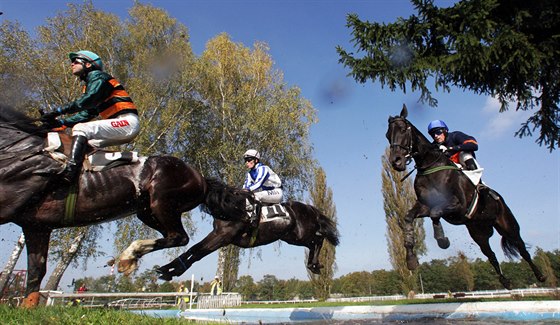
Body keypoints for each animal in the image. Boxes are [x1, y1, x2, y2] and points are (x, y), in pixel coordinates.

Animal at [0, 104, 249, 306]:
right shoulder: (36, 226)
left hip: (162, 201)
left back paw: (131, 255)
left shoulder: (11, 208)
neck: (16, 149)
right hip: (147, 211)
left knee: (179, 237)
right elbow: (35, 273)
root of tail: (201, 178)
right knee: (174, 238)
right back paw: (136, 257)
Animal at [155, 200, 340, 278]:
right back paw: (313, 264)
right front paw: (166, 269)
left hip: (302, 234)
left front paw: (172, 271)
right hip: (291, 237)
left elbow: (198, 252)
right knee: (314, 242)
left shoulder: (223, 237)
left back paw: (314, 264)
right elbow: (194, 249)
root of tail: (310, 208)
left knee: (318, 240)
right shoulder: (218, 235)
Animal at [388, 103, 544, 286]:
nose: (396, 161)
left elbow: (435, 213)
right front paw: (411, 259)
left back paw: (540, 275)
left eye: (403, 129)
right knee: (491, 255)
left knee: (522, 249)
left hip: (508, 226)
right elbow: (409, 217)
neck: (430, 167)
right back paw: (505, 281)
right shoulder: (425, 205)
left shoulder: (458, 205)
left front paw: (442, 240)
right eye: (387, 135)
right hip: (479, 233)